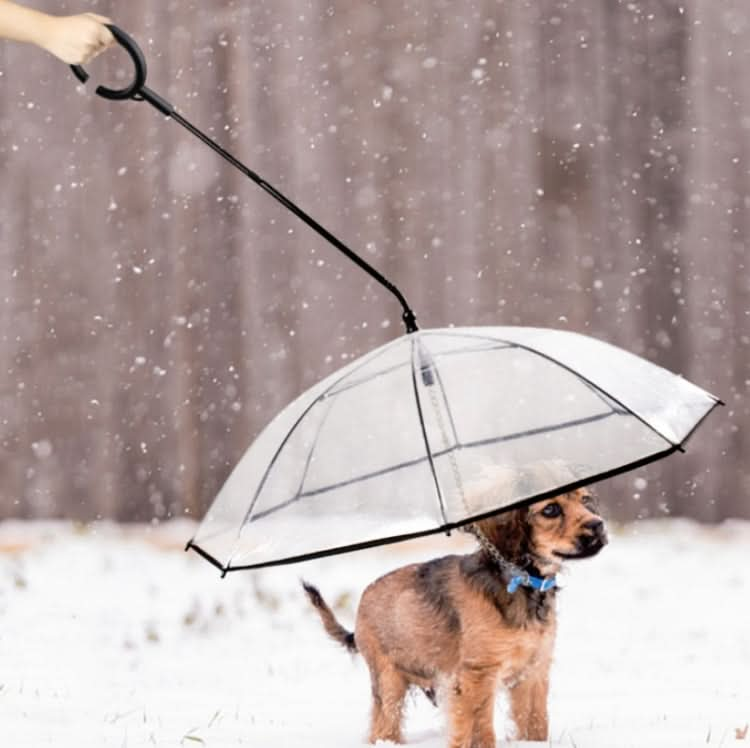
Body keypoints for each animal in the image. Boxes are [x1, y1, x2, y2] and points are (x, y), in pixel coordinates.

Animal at [302, 482, 608, 744]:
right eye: (551, 509)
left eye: (585, 500)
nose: (599, 525)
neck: (521, 582)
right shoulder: (479, 676)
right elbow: (482, 732)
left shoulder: (533, 671)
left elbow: (535, 725)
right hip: (389, 682)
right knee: (383, 727)